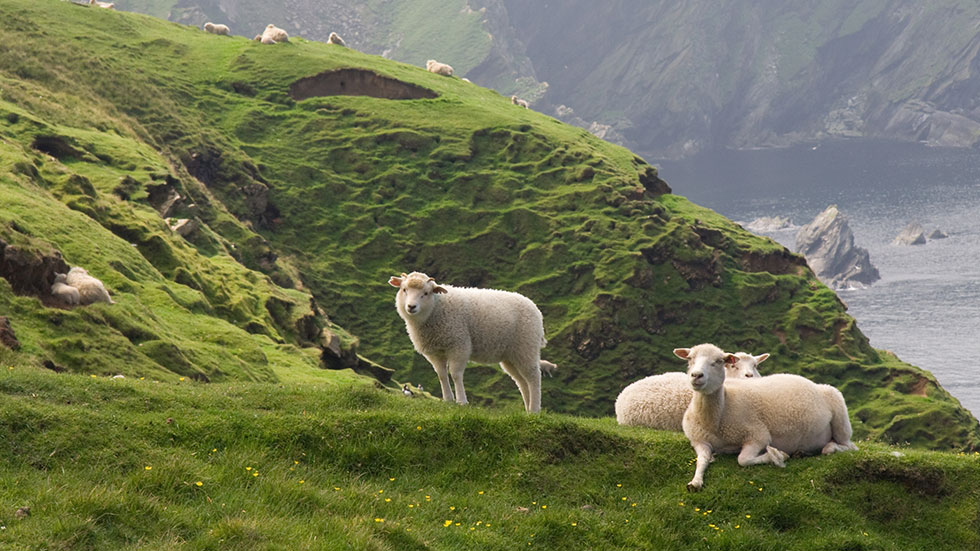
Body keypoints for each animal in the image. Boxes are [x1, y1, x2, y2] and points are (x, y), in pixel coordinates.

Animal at [390, 272, 560, 414]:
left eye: (426, 293)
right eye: (404, 289)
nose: (411, 307)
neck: (436, 308)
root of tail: (535, 309)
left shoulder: (459, 344)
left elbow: (455, 374)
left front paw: (462, 401)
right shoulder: (434, 352)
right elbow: (442, 375)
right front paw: (448, 400)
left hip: (526, 347)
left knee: (533, 378)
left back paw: (535, 410)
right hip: (511, 356)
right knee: (522, 382)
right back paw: (527, 409)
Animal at [672, 344, 856, 492]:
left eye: (718, 361)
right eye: (690, 358)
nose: (696, 375)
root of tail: (815, 384)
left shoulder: (758, 435)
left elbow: (743, 460)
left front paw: (779, 456)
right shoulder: (698, 440)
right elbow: (701, 460)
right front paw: (695, 482)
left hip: (840, 418)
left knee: (849, 446)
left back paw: (829, 447)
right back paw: (801, 452)